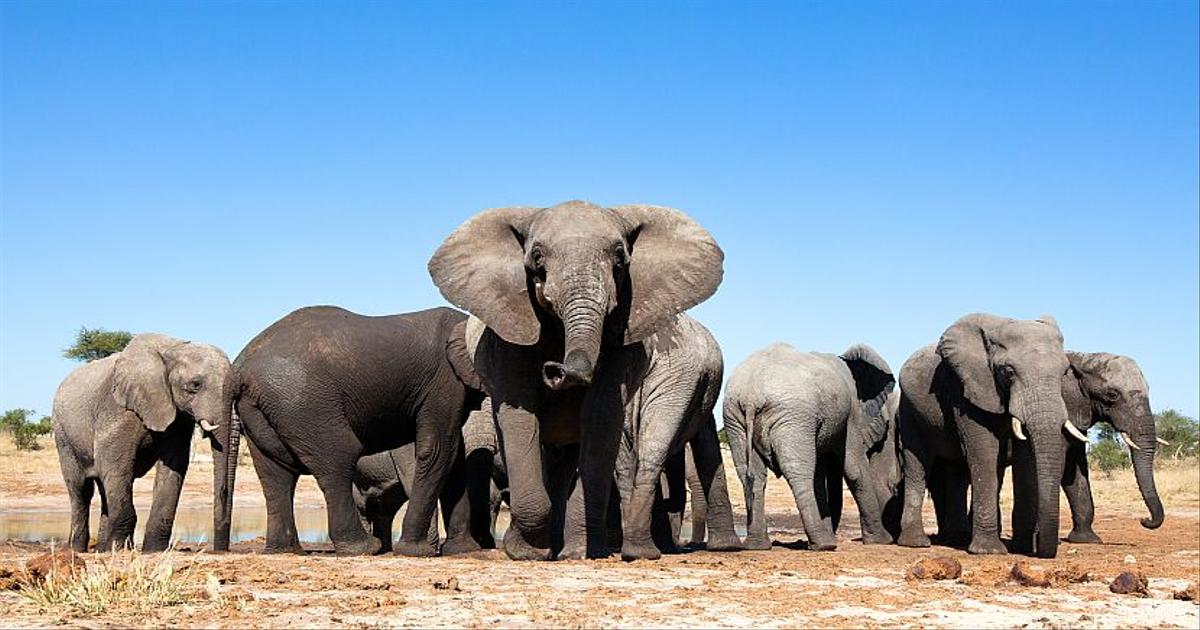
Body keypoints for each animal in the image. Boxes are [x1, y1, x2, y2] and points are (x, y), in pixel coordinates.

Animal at [52, 333, 234, 552]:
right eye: (195, 385)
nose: (221, 549)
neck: (173, 348)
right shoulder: (119, 409)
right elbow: (116, 465)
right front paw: (119, 548)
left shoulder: (177, 417)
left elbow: (173, 467)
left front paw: (153, 550)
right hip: (63, 434)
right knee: (81, 489)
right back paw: (78, 549)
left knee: (105, 488)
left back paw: (103, 549)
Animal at [212, 305, 485, 556]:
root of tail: (238, 367)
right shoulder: (445, 381)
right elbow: (438, 449)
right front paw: (416, 551)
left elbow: (455, 457)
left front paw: (463, 550)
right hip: (304, 401)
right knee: (338, 458)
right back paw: (364, 548)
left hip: (263, 407)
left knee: (276, 473)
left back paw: (286, 550)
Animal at [429, 200, 740, 561]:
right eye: (537, 257)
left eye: (620, 258)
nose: (555, 369)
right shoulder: (507, 333)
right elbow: (520, 417)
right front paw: (527, 552)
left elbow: (600, 418)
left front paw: (578, 552)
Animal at [722, 342, 897, 551]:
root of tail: (752, 394)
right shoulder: (852, 413)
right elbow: (854, 470)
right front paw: (882, 541)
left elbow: (819, 476)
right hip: (792, 416)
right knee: (799, 472)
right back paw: (824, 544)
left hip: (735, 417)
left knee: (752, 475)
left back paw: (757, 545)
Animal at [897, 313, 1072, 558]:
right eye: (1008, 371)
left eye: (1064, 373)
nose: (1041, 548)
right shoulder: (967, 389)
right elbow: (984, 453)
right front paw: (989, 551)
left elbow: (1026, 460)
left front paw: (1021, 548)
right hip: (909, 409)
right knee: (917, 463)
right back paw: (916, 543)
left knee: (957, 473)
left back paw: (957, 538)